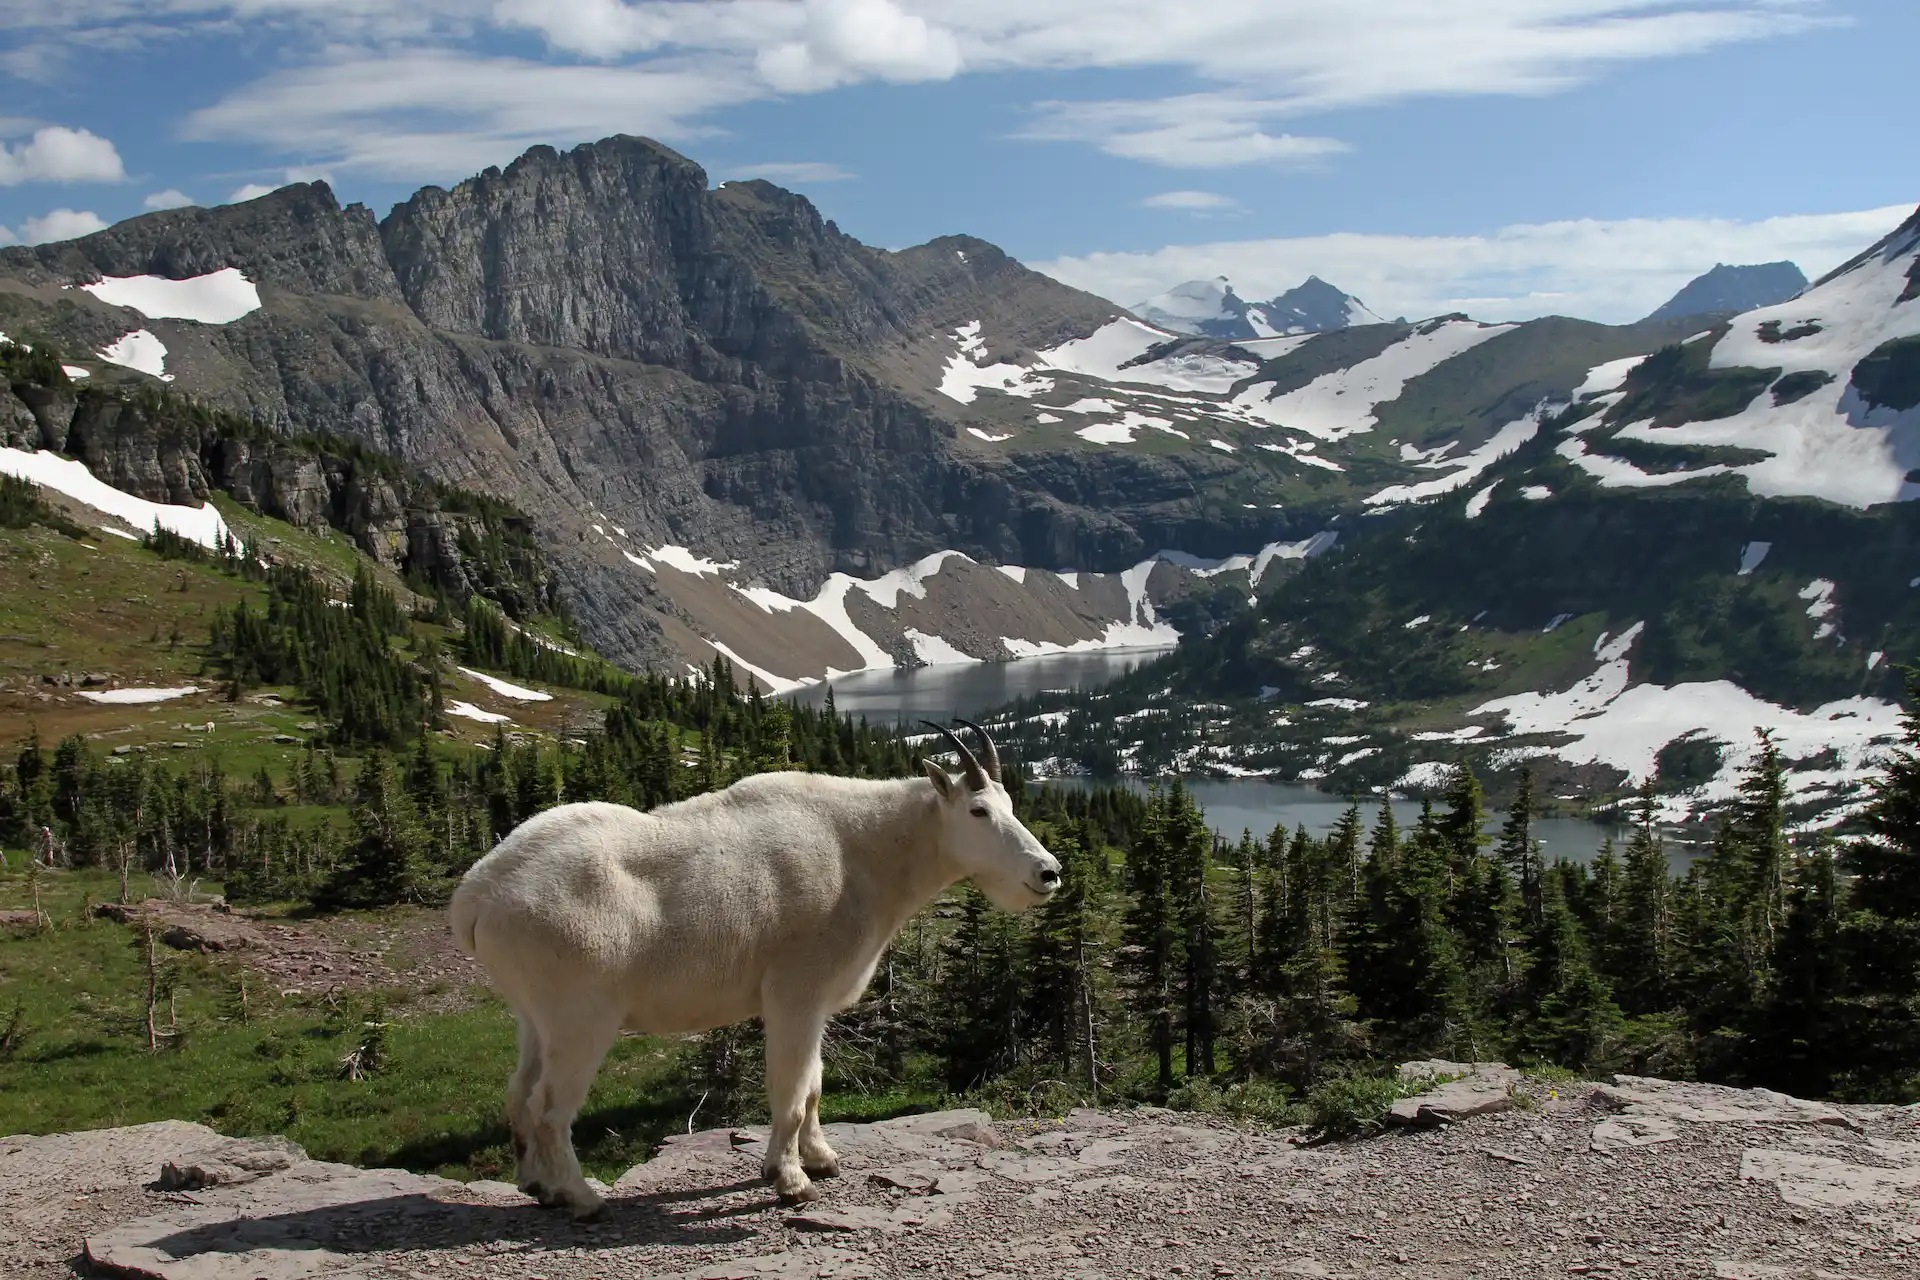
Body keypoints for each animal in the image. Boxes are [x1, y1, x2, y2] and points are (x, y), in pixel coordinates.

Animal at [451, 721, 1067, 1220]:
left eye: (1011, 804)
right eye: (978, 811)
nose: (1049, 873)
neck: (864, 852)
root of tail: (477, 894)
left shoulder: (816, 1004)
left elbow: (813, 1084)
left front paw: (821, 1159)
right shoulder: (795, 992)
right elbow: (790, 1091)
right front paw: (790, 1181)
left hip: (534, 1015)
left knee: (517, 1094)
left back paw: (538, 1187)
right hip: (581, 1016)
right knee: (549, 1107)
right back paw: (582, 1199)